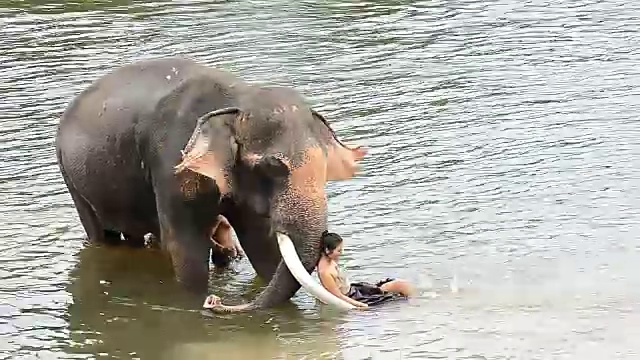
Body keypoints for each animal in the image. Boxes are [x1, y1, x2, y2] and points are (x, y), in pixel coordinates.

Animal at [56, 58, 364, 312]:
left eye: (325, 166)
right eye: (273, 165)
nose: (216, 303)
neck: (237, 100)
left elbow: (260, 244)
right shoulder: (172, 164)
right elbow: (186, 247)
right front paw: (194, 301)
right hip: (71, 178)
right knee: (100, 234)